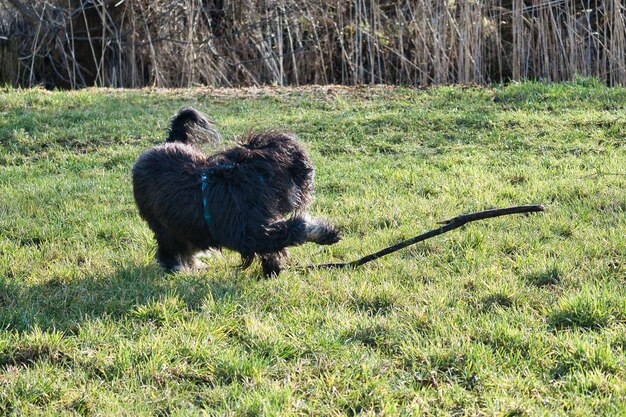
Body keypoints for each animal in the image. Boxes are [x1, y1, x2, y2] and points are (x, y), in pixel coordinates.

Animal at [129, 107, 338, 274]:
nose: (311, 175)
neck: (256, 180)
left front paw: (273, 268)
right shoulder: (249, 233)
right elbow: (294, 229)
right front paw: (324, 233)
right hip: (164, 225)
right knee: (170, 247)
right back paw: (178, 267)